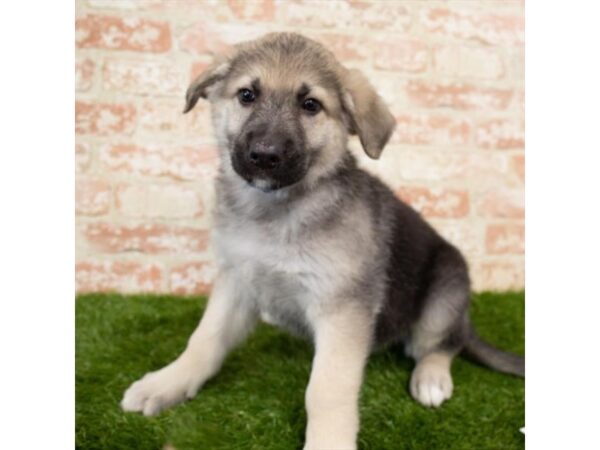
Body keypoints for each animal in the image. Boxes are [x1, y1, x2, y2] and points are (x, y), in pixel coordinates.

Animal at [120, 32, 520, 450]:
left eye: (310, 104)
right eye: (247, 95)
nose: (264, 155)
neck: (277, 210)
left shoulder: (342, 308)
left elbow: (327, 388)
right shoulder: (237, 281)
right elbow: (204, 339)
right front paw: (167, 382)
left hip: (445, 290)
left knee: (442, 345)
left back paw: (431, 377)